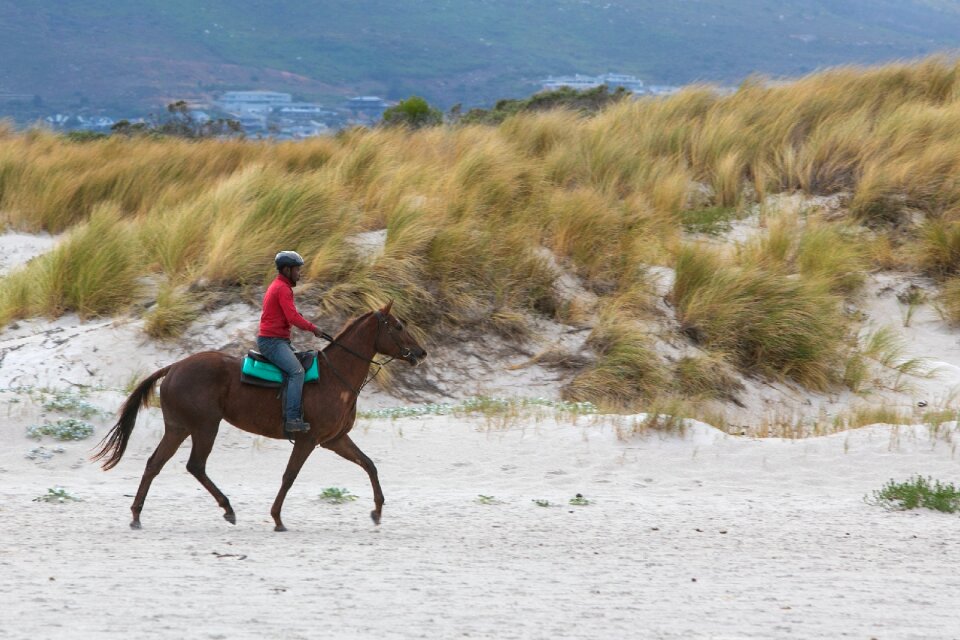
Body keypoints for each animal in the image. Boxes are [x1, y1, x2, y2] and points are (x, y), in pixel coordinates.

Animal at [91, 302, 428, 532]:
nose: (421, 353)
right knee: (195, 465)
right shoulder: (307, 439)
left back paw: (137, 515)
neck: (335, 377)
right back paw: (227, 508)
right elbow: (289, 476)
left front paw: (378, 511)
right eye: (398, 326)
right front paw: (277, 518)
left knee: (154, 464)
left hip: (178, 428)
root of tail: (174, 367)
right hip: (204, 427)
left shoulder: (335, 440)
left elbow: (369, 464)